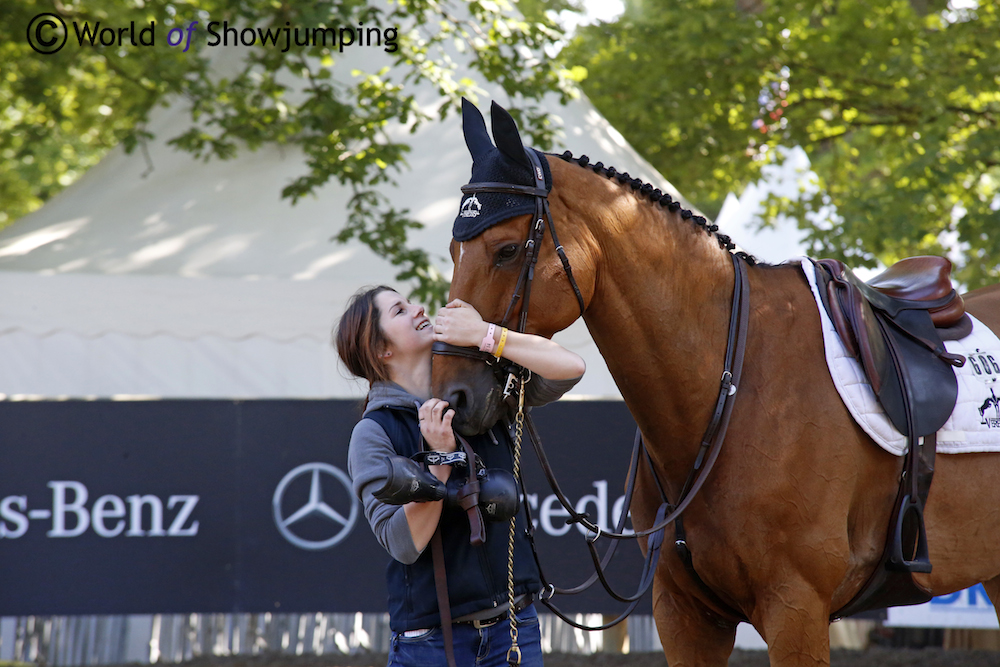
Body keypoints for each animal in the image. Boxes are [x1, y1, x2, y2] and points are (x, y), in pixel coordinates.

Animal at [431, 101, 1000, 666]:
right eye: (455, 252)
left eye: (507, 251)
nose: (451, 397)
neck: (732, 391)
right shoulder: (684, 616)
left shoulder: (796, 609)